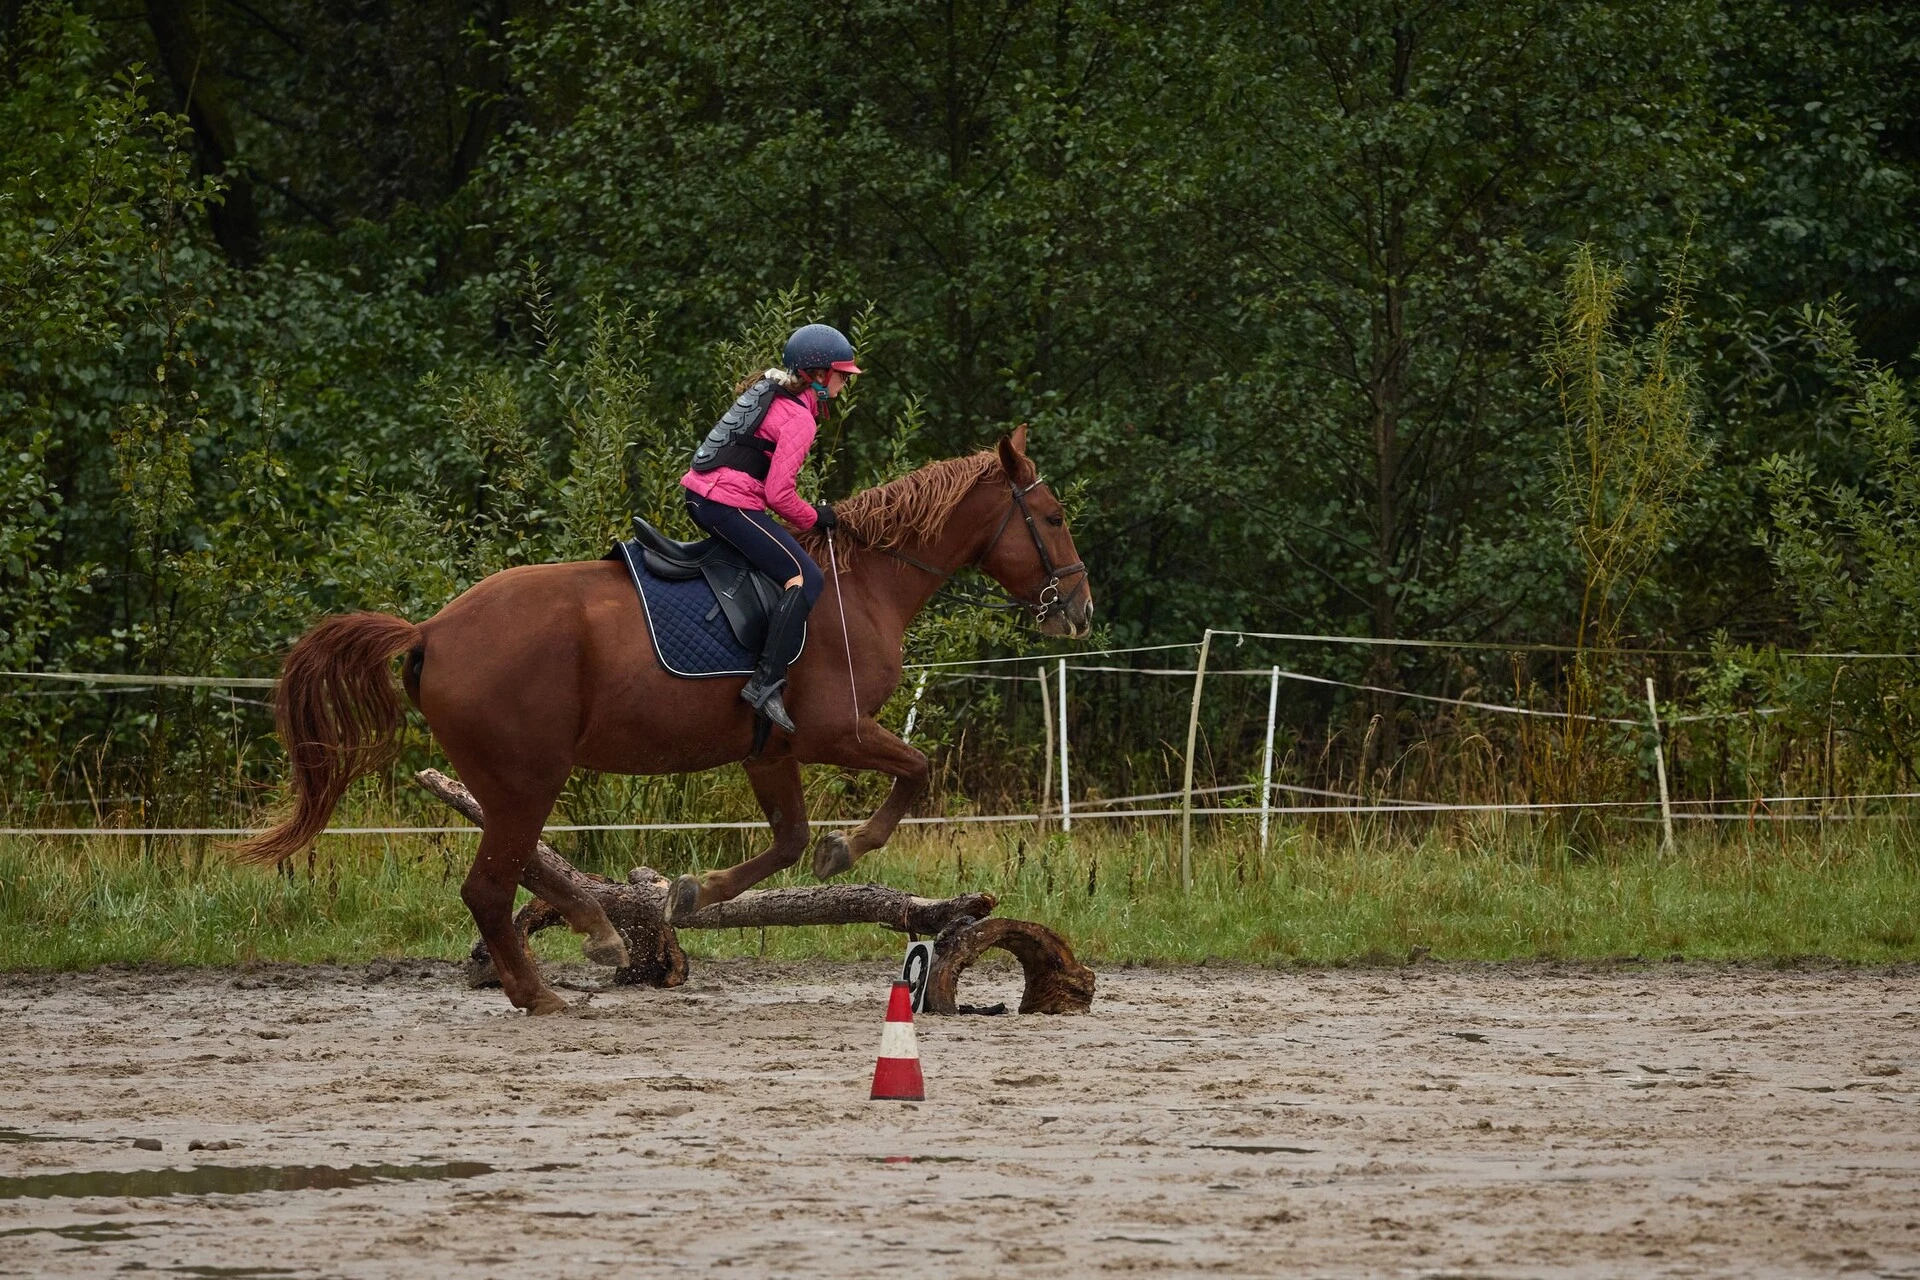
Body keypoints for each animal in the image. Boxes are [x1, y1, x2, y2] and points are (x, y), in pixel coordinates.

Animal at [232, 427, 1090, 1013]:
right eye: (1051, 516)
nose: (1078, 610)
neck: (865, 583)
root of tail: (433, 629)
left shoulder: (769, 749)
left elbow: (788, 842)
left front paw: (693, 893)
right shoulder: (832, 733)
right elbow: (914, 773)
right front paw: (850, 847)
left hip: (509, 781)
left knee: (517, 873)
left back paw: (594, 934)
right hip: (527, 776)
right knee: (489, 887)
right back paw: (545, 992)